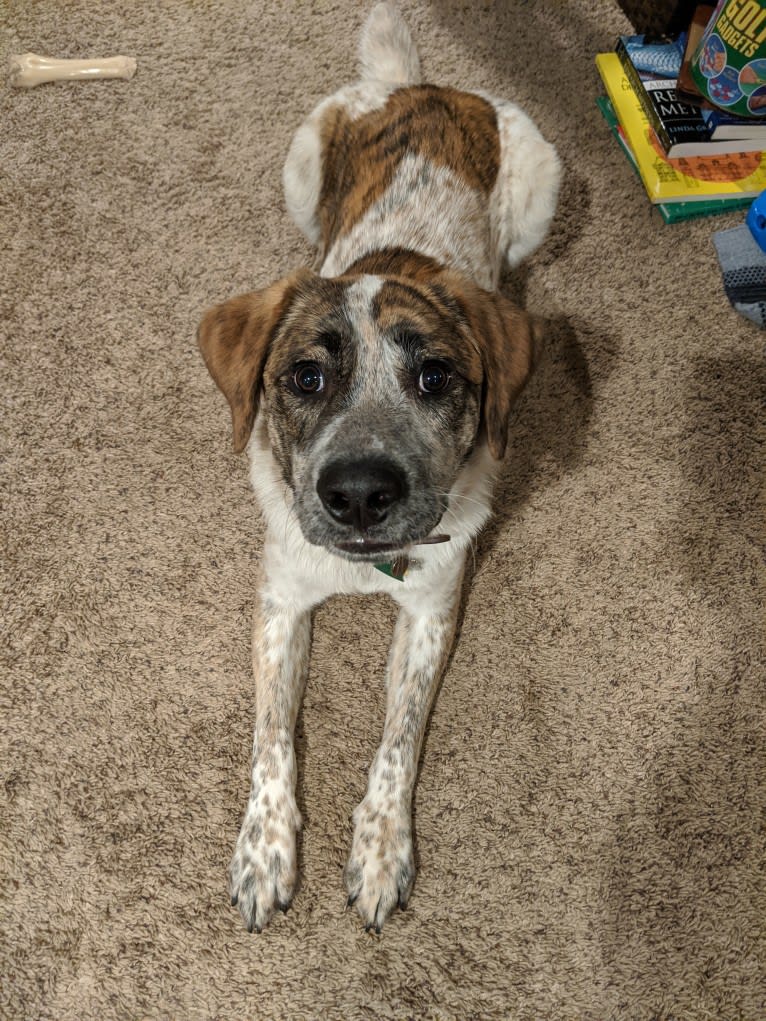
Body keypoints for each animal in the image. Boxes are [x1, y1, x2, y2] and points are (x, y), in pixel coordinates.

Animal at [196, 1, 559, 935]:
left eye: (434, 376)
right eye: (304, 378)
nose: (359, 492)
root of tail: (421, 85)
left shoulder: (432, 609)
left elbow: (397, 742)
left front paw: (381, 851)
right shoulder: (281, 601)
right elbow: (270, 740)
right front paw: (264, 853)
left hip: (543, 187)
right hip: (299, 165)